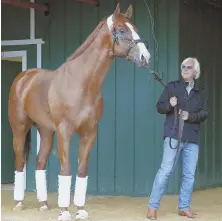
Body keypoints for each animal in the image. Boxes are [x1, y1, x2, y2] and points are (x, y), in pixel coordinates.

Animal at [8, 3, 151, 221]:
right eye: (120, 30)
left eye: (135, 28)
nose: (145, 57)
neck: (82, 83)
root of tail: (24, 77)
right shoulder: (65, 132)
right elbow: (66, 170)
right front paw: (64, 211)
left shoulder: (89, 132)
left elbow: (82, 170)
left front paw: (81, 210)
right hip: (20, 128)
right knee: (19, 160)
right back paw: (18, 203)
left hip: (46, 131)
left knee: (40, 162)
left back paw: (43, 204)